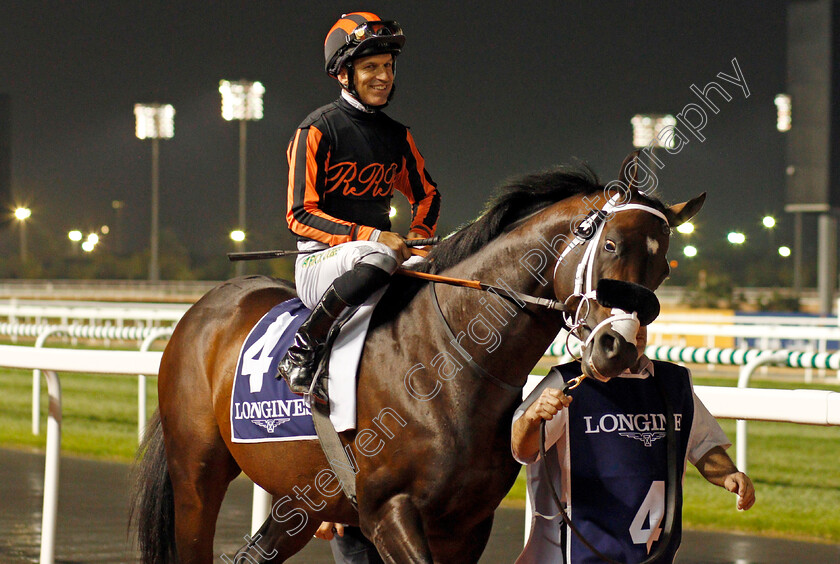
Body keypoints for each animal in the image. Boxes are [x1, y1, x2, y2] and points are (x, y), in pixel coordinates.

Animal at [131, 152, 704, 560]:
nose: (618, 347)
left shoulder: (466, 523)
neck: (451, 362)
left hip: (302, 498)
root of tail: (205, 308)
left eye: (664, 268)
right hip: (197, 473)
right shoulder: (389, 511)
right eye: (610, 246)